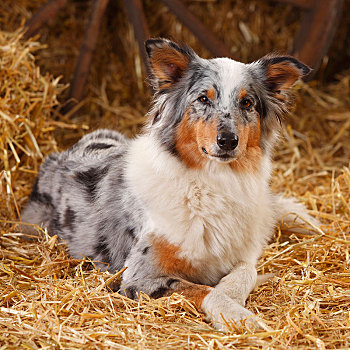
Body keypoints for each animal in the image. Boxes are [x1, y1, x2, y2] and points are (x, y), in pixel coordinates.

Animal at [22, 38, 318, 330]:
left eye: (246, 103)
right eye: (203, 99)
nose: (228, 140)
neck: (211, 184)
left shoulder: (240, 254)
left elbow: (246, 272)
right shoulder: (140, 276)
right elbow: (206, 291)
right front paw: (240, 318)